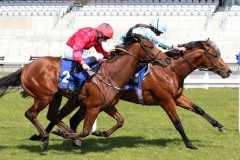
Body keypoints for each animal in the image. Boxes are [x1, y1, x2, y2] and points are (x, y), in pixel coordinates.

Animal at [0, 34, 169, 150]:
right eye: (150, 46)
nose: (167, 60)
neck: (111, 74)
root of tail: (26, 67)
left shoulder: (107, 105)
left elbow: (120, 121)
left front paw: (101, 133)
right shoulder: (93, 107)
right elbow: (86, 130)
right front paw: (68, 135)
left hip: (56, 96)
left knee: (53, 115)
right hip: (43, 96)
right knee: (31, 114)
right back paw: (46, 137)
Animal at [32, 38, 232, 149]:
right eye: (215, 55)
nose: (228, 71)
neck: (171, 70)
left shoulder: (176, 97)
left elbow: (198, 109)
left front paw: (221, 126)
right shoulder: (166, 100)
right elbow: (178, 123)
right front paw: (189, 144)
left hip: (83, 101)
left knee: (66, 117)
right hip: (78, 100)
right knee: (59, 115)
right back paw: (44, 136)